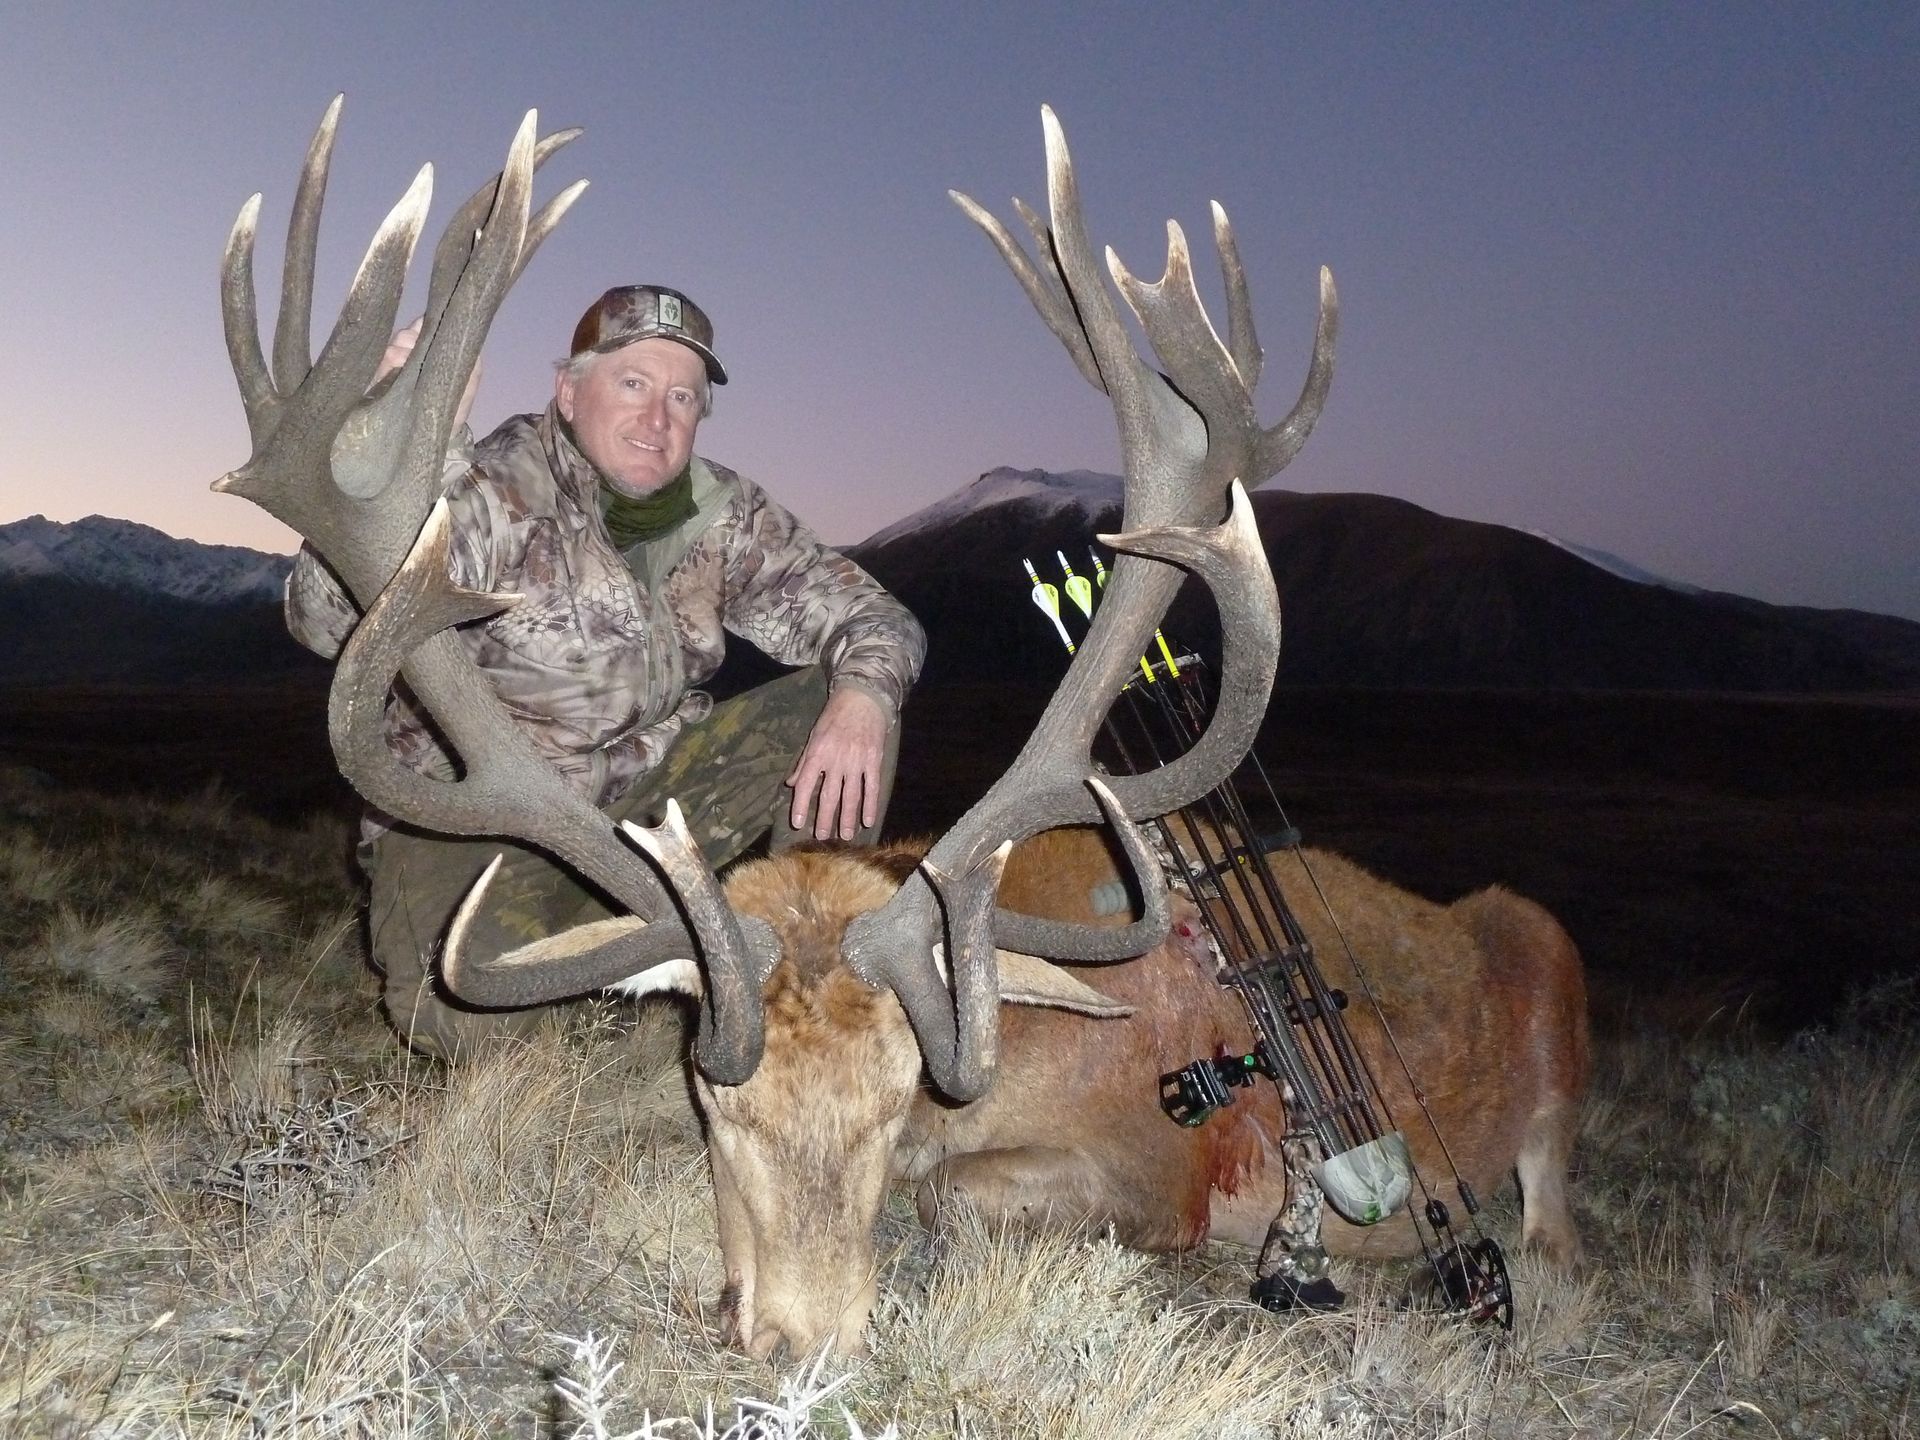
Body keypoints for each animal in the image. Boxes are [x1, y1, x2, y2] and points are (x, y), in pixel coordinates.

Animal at [218, 101, 1588, 1361]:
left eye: (896, 1105)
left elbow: (961, 1197)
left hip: (1551, 992)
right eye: (719, 1106)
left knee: (1548, 1205)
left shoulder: (1157, 1170)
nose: (809, 1341)